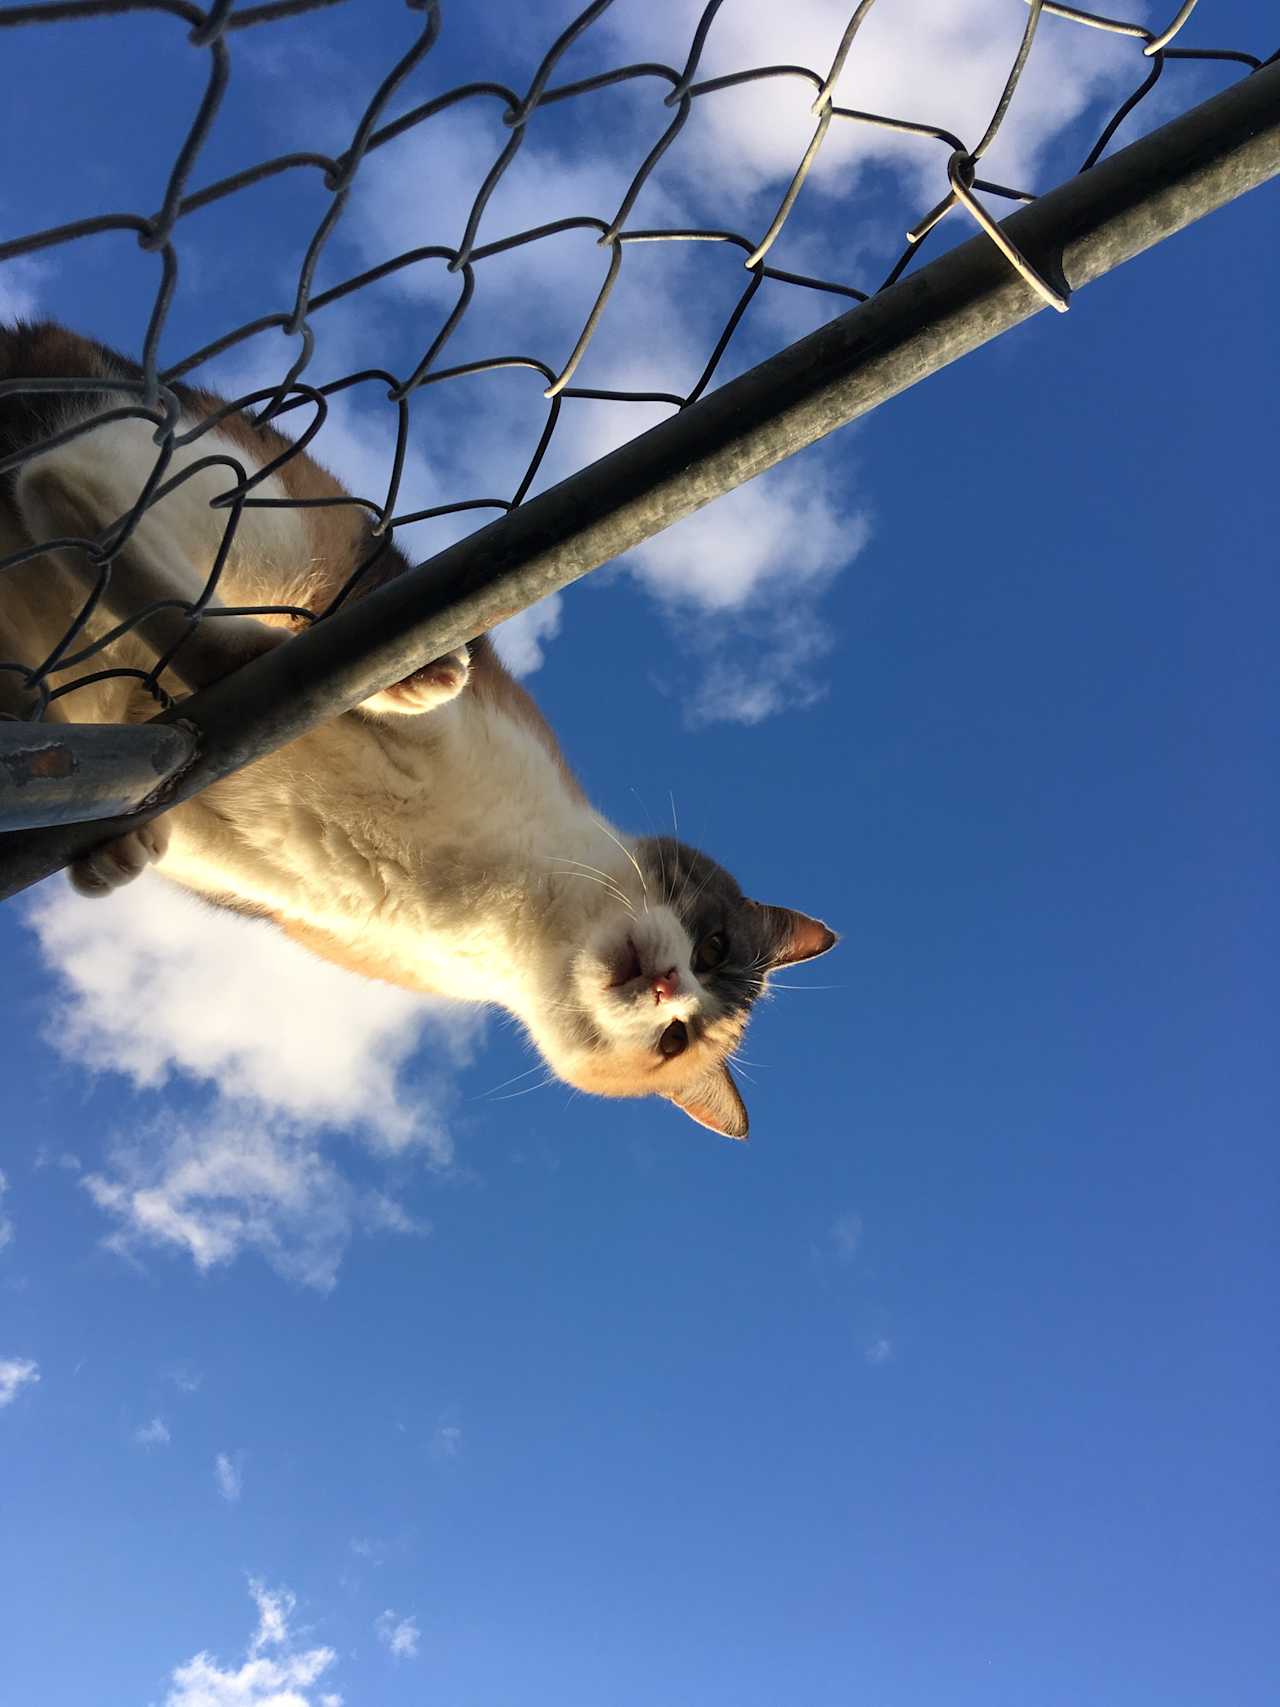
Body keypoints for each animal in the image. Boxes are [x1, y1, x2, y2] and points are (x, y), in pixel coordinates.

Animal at [0, 326, 836, 1140]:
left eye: (675, 1039)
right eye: (712, 947)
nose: (669, 988)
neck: (509, 905)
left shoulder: (243, 864)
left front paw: (120, 851)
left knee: (65, 499)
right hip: (272, 523)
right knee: (73, 488)